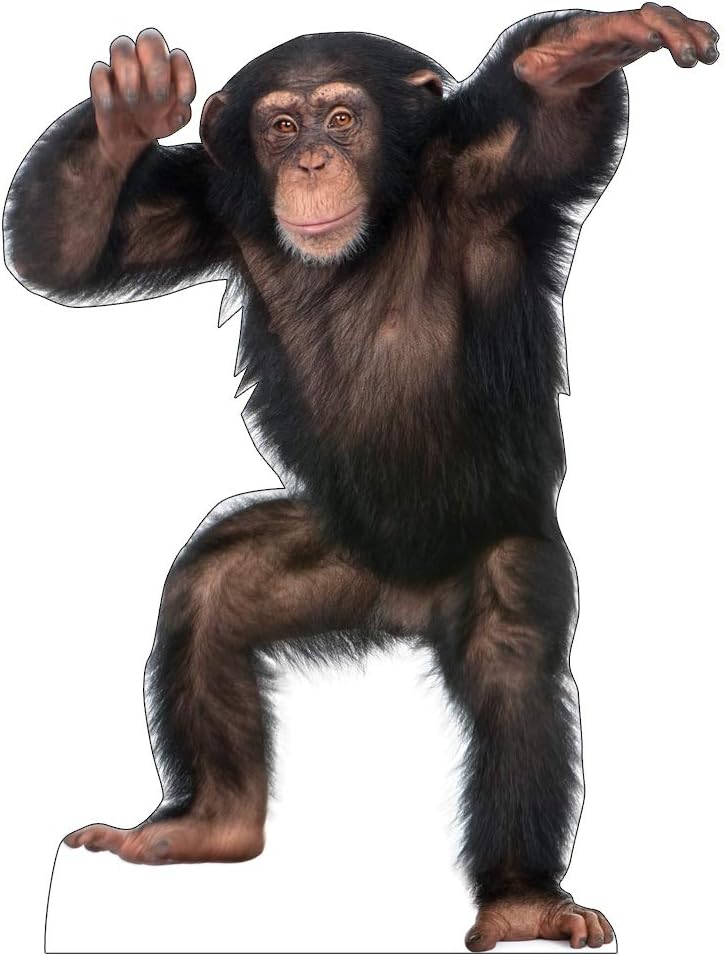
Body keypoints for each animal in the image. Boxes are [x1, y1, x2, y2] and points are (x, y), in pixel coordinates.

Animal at [3, 5, 718, 950]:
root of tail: (406, 609)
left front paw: (579, 50)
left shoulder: (494, 176)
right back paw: (209, 824)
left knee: (514, 658)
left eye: (342, 118)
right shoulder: (206, 208)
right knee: (208, 593)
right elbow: (67, 255)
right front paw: (130, 111)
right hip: (332, 558)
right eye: (280, 126)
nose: (311, 159)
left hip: (493, 552)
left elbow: (552, 126)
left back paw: (523, 897)